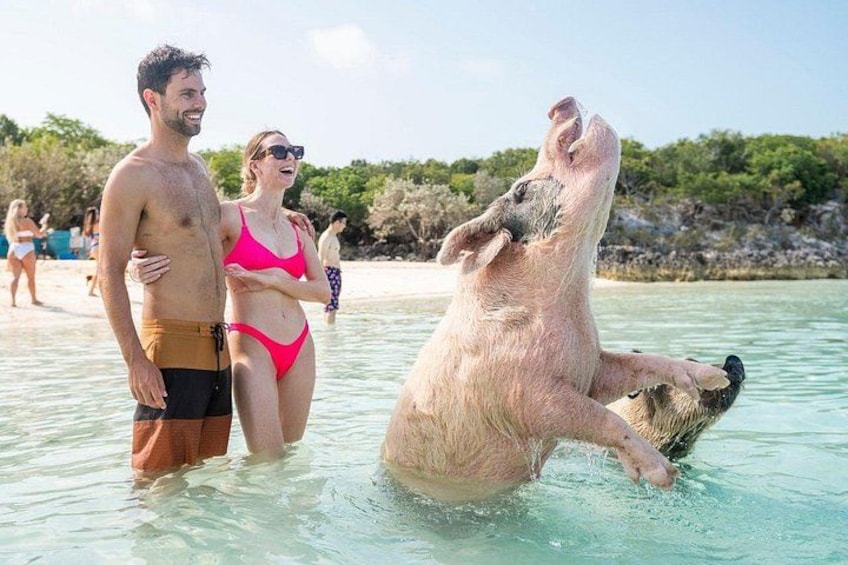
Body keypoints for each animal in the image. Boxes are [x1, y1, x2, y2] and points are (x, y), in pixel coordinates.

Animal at [381, 96, 731, 498]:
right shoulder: (523, 395)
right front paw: (663, 475)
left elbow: (638, 364)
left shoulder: (592, 366)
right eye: (521, 188)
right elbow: (602, 418)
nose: (559, 104)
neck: (568, 295)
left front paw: (714, 377)